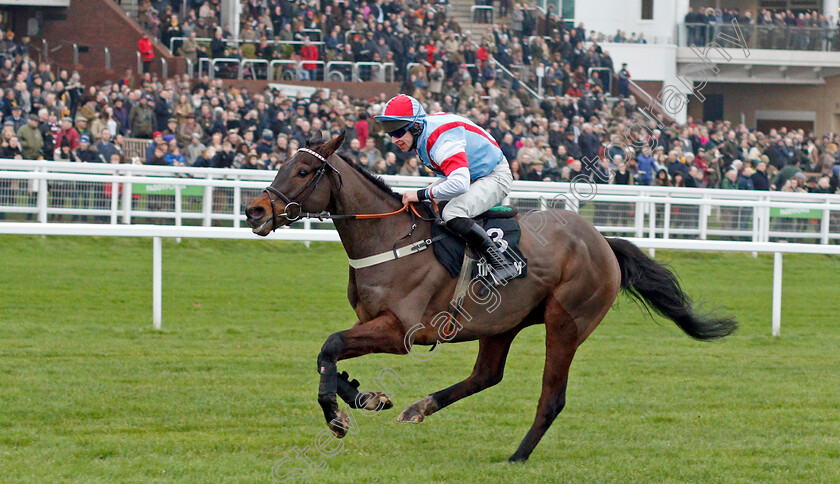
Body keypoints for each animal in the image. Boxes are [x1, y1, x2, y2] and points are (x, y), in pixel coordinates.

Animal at [244, 132, 736, 462]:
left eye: (303, 171)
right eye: (282, 164)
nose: (255, 210)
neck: (389, 237)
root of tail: (602, 242)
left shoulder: (402, 331)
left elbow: (329, 345)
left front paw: (337, 417)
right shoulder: (373, 322)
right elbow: (329, 354)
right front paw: (366, 398)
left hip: (566, 324)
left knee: (551, 397)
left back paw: (517, 456)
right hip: (501, 323)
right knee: (487, 375)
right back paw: (420, 407)